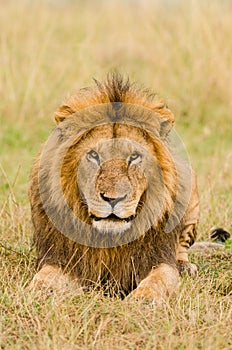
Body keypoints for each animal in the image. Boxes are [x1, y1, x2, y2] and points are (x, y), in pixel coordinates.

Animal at [28, 74, 199, 304]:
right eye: (93, 155)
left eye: (134, 156)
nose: (112, 199)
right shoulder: (64, 259)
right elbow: (45, 276)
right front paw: (38, 292)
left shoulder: (158, 258)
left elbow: (159, 279)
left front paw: (144, 299)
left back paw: (186, 267)